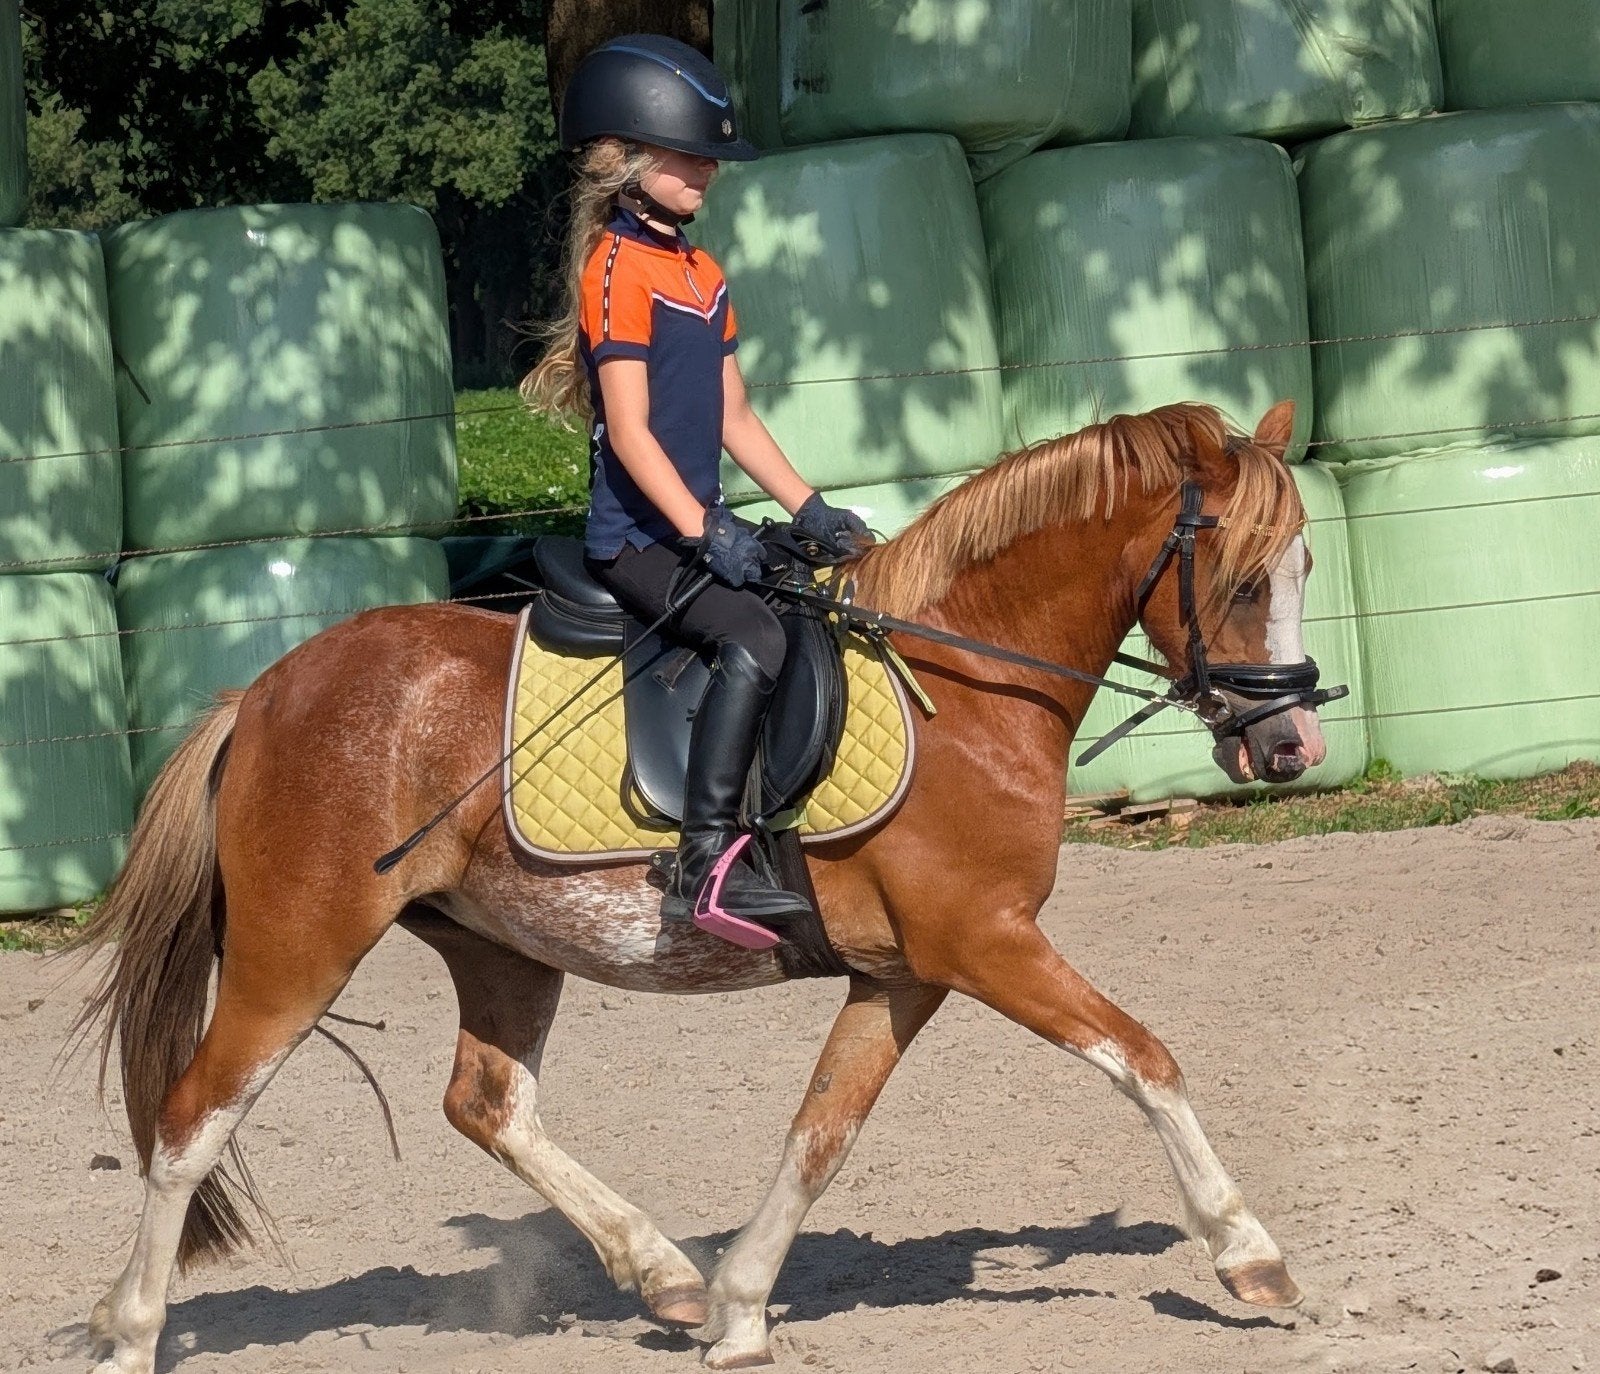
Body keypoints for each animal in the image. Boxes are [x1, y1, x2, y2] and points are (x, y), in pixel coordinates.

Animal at [76, 399, 1327, 1373]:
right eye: (1245, 579)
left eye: (1306, 567)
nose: (1292, 746)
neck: (965, 683)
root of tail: (263, 693)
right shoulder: (986, 942)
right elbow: (1146, 1061)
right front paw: (1248, 1254)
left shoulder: (908, 974)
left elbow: (821, 1133)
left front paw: (736, 1308)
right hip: (300, 948)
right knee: (190, 1121)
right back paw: (129, 1331)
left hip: (500, 947)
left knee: (488, 1105)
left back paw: (662, 1272)